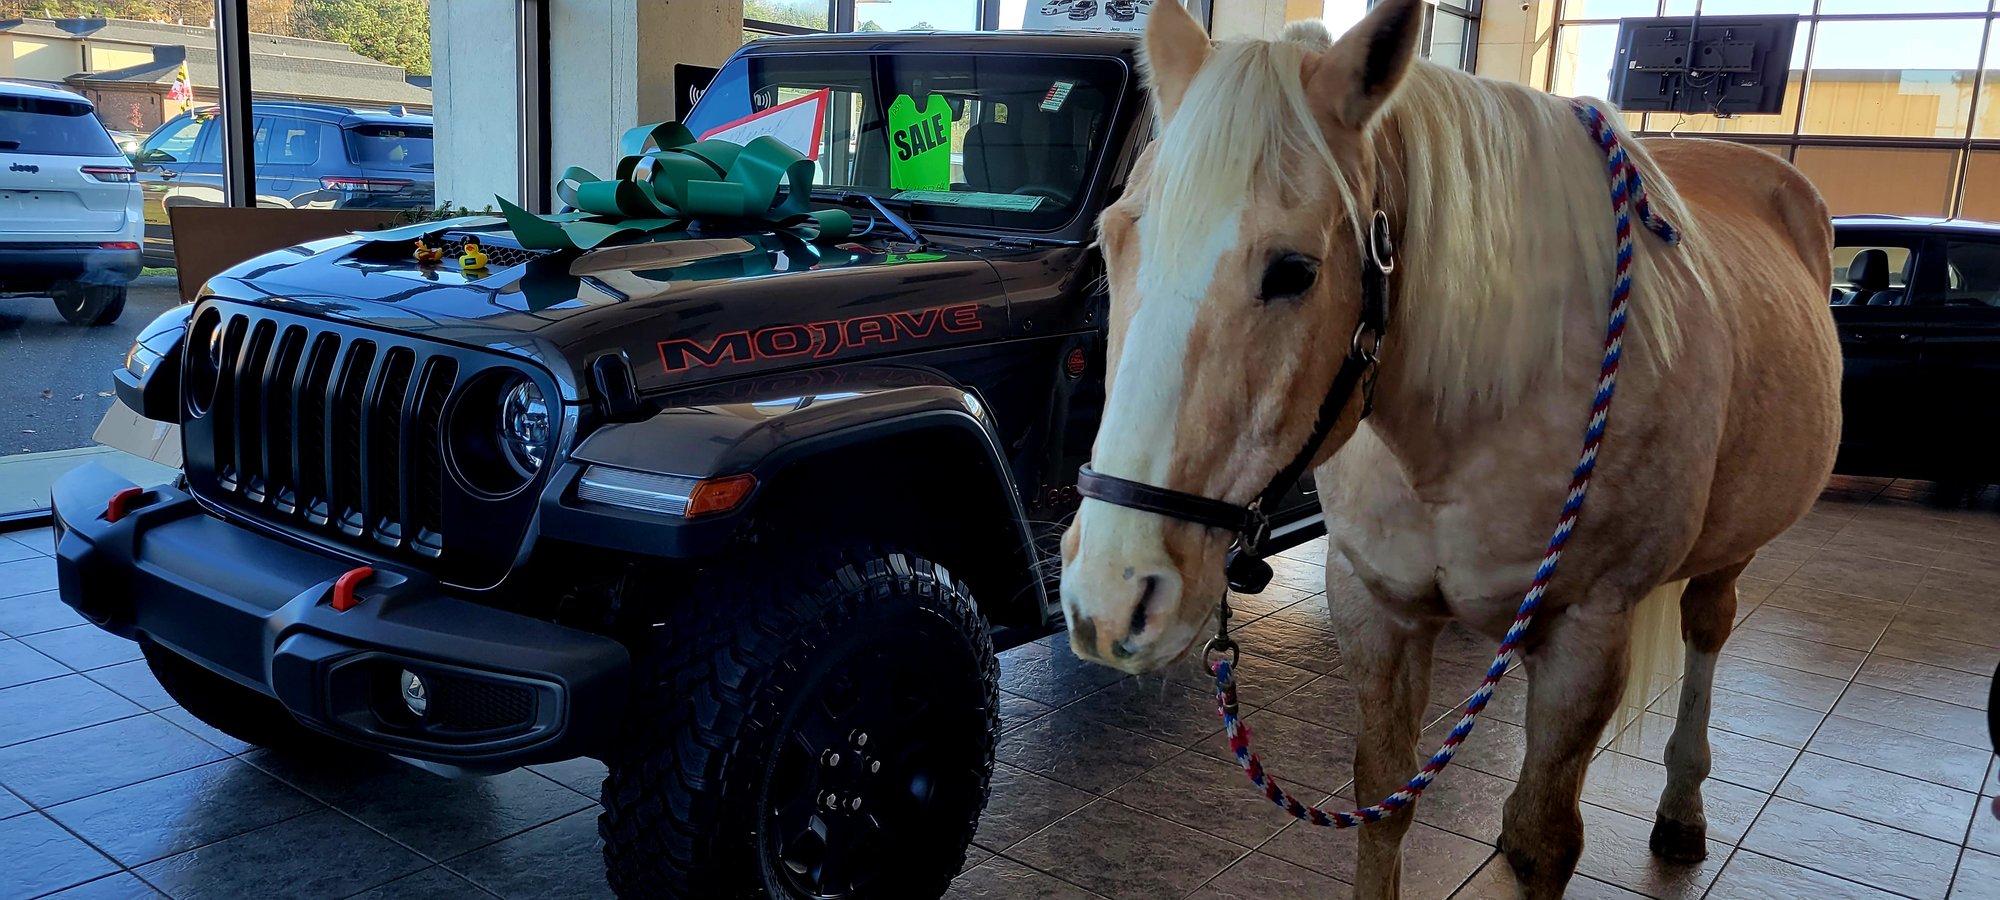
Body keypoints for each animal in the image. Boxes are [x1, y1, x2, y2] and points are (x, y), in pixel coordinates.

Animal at [1064, 0, 1840, 896]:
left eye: (1294, 269)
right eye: (1112, 240)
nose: (1112, 595)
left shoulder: (1586, 636)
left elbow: (1543, 836)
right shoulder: (1377, 608)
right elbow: (1382, 799)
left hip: (1729, 551)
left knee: (1708, 625)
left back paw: (1682, 807)